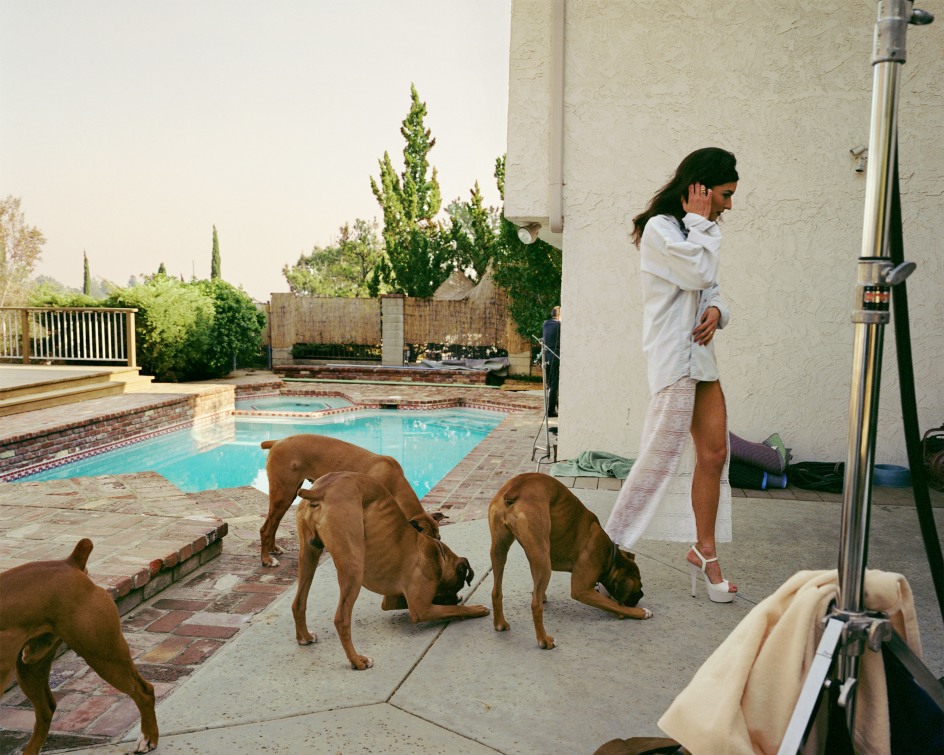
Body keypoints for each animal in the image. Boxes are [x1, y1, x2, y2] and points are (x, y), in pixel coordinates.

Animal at [0, 540, 159, 752]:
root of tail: (70, 563)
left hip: (104, 656)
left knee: (144, 692)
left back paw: (148, 738)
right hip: (31, 668)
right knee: (45, 710)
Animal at [256, 432, 444, 568]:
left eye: (439, 538)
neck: (394, 481)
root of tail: (277, 441)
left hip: (287, 496)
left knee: (273, 524)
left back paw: (273, 549)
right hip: (283, 495)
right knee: (266, 528)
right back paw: (266, 560)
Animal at [292, 470, 490, 672]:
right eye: (456, 585)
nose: (454, 595)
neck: (437, 554)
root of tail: (321, 490)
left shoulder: (391, 600)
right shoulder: (421, 609)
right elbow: (453, 609)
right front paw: (475, 609)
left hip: (308, 557)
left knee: (298, 602)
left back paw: (305, 637)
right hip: (353, 567)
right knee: (341, 619)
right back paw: (357, 660)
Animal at [486, 472, 648, 648]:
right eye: (639, 586)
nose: (641, 595)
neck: (609, 556)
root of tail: (516, 487)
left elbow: (537, 589)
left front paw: (541, 594)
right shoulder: (581, 590)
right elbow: (613, 604)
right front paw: (639, 613)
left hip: (499, 550)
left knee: (496, 591)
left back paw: (500, 623)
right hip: (543, 560)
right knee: (535, 605)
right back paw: (544, 640)